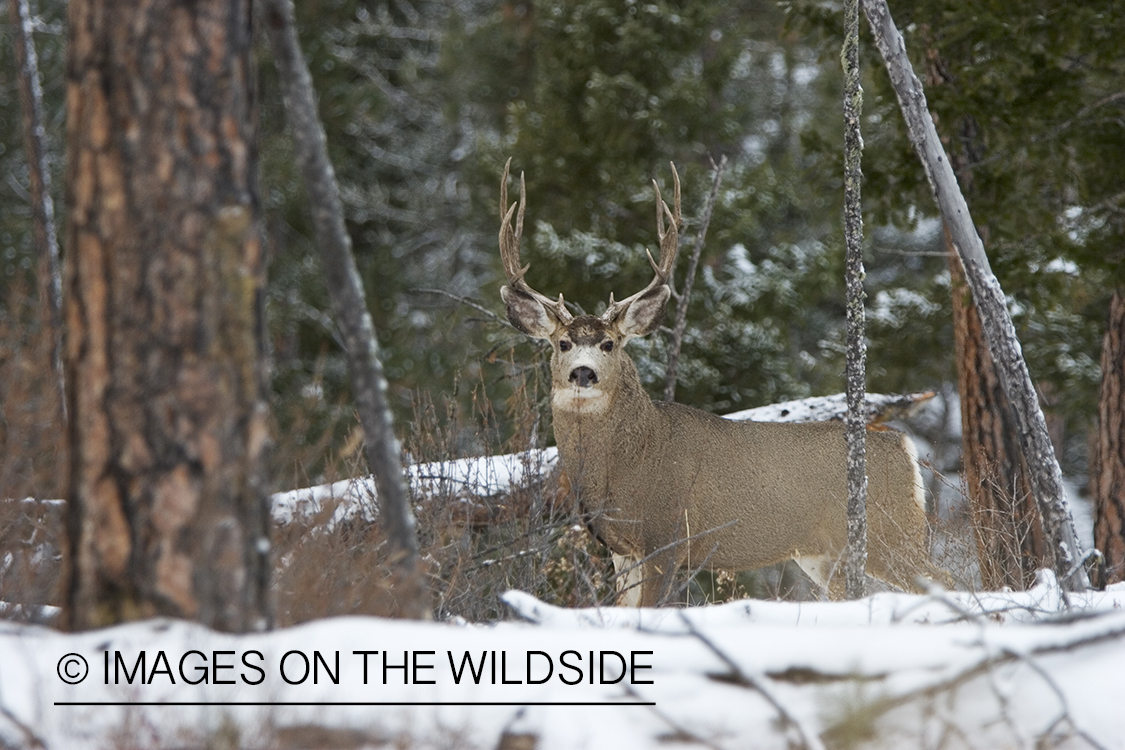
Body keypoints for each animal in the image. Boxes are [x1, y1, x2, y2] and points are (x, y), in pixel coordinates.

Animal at [498, 159, 938, 606]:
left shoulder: (668, 537)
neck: (629, 463)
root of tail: (903, 446)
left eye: (609, 343)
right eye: (563, 343)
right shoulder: (621, 550)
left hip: (890, 532)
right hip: (825, 552)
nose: (583, 372)